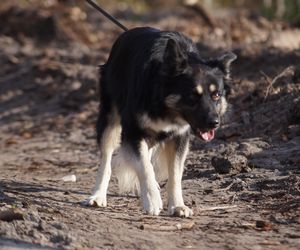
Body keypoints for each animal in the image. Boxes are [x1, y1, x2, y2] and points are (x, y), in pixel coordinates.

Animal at [83, 26, 236, 216]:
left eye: (216, 95)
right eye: (193, 96)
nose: (214, 123)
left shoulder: (179, 137)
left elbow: (175, 174)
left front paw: (177, 205)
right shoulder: (133, 131)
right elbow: (144, 167)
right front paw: (152, 200)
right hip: (110, 120)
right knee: (106, 160)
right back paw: (98, 195)